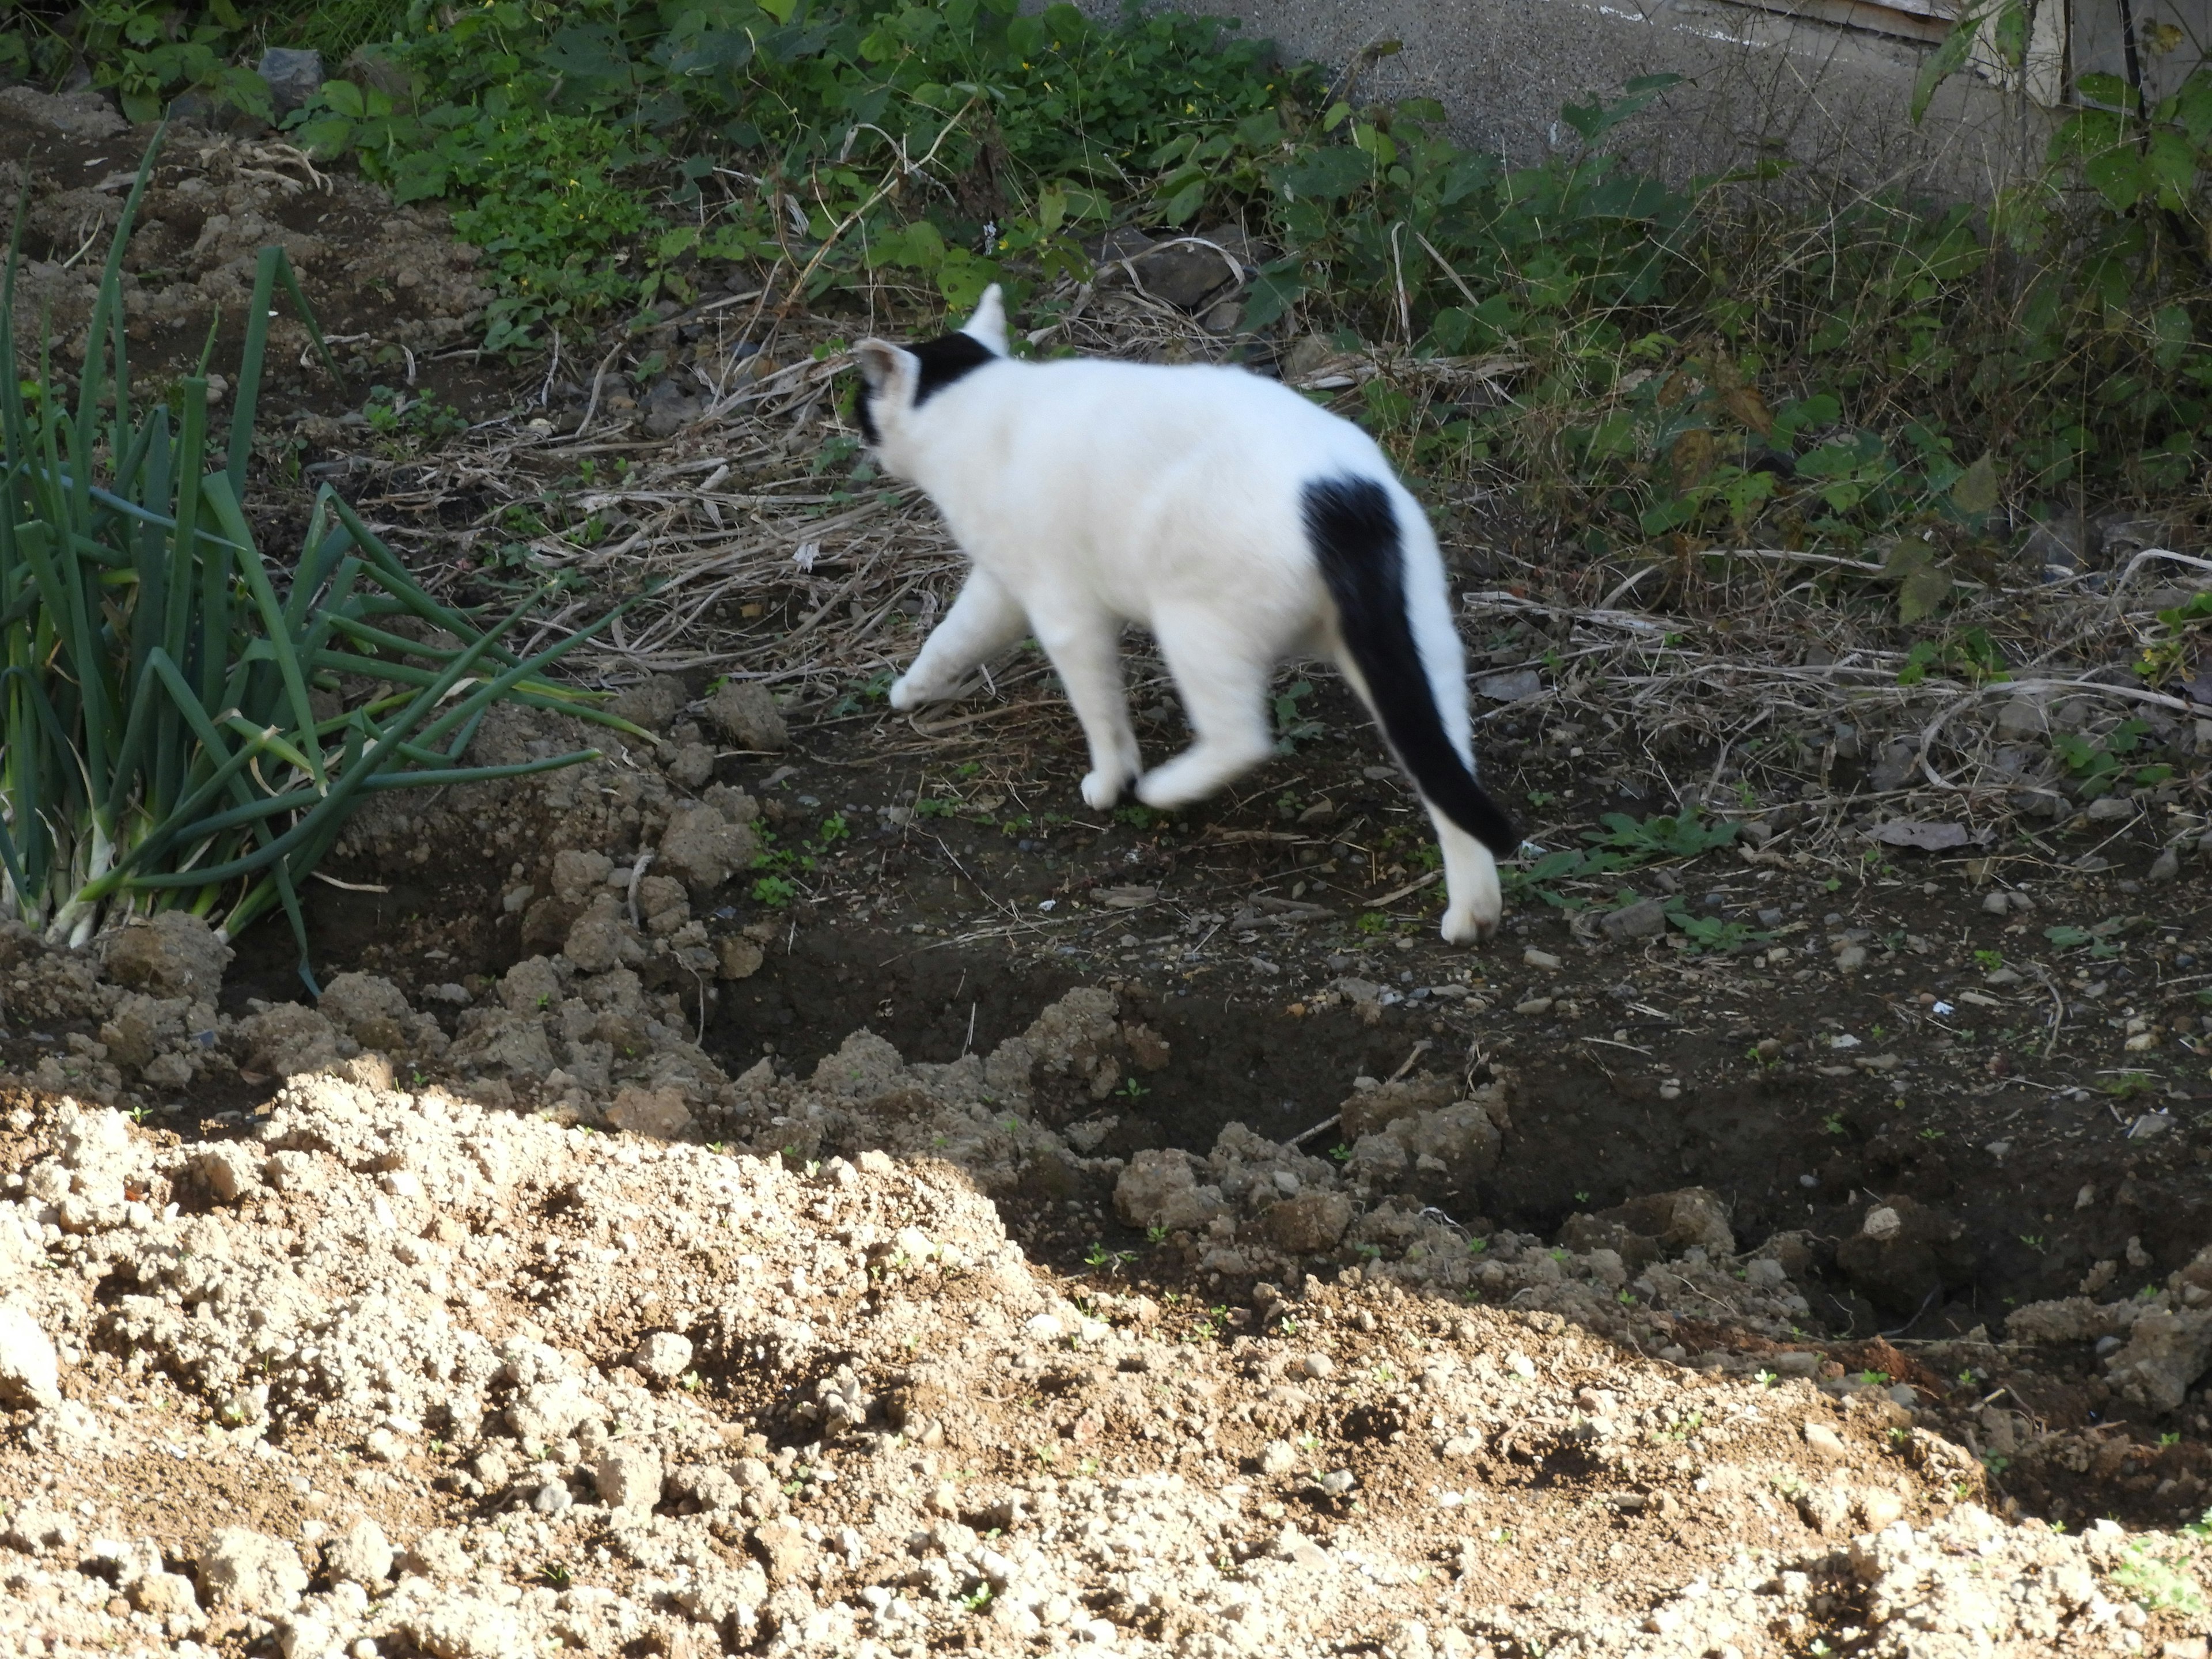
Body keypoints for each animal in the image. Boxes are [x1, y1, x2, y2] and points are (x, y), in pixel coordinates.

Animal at [849, 290, 1521, 946]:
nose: (862, 436)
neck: (973, 403)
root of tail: (1340, 496)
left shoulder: (1062, 611)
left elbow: (1098, 711)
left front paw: (1111, 782)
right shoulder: (1001, 588)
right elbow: (952, 638)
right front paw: (913, 690)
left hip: (1195, 628)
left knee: (1242, 739)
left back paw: (1165, 789)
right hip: (1410, 652)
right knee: (1445, 769)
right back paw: (1474, 914)